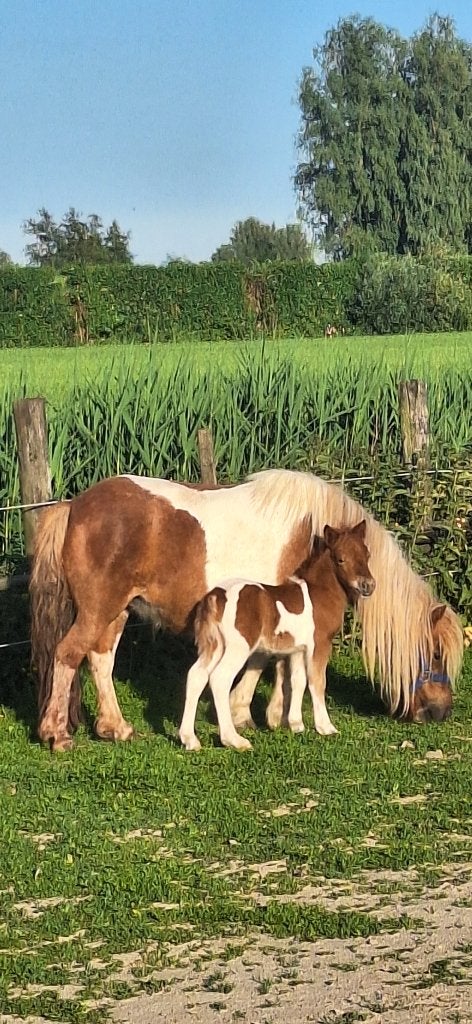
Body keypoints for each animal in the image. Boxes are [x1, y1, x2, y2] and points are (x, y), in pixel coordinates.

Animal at [179, 520, 375, 751]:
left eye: (367, 554)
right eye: (341, 559)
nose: (368, 585)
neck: (318, 594)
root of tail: (216, 597)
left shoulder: (298, 649)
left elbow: (297, 681)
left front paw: (296, 725)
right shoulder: (320, 644)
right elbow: (317, 682)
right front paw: (326, 728)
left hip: (214, 645)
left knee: (196, 676)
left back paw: (189, 739)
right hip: (238, 648)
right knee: (220, 679)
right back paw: (234, 740)